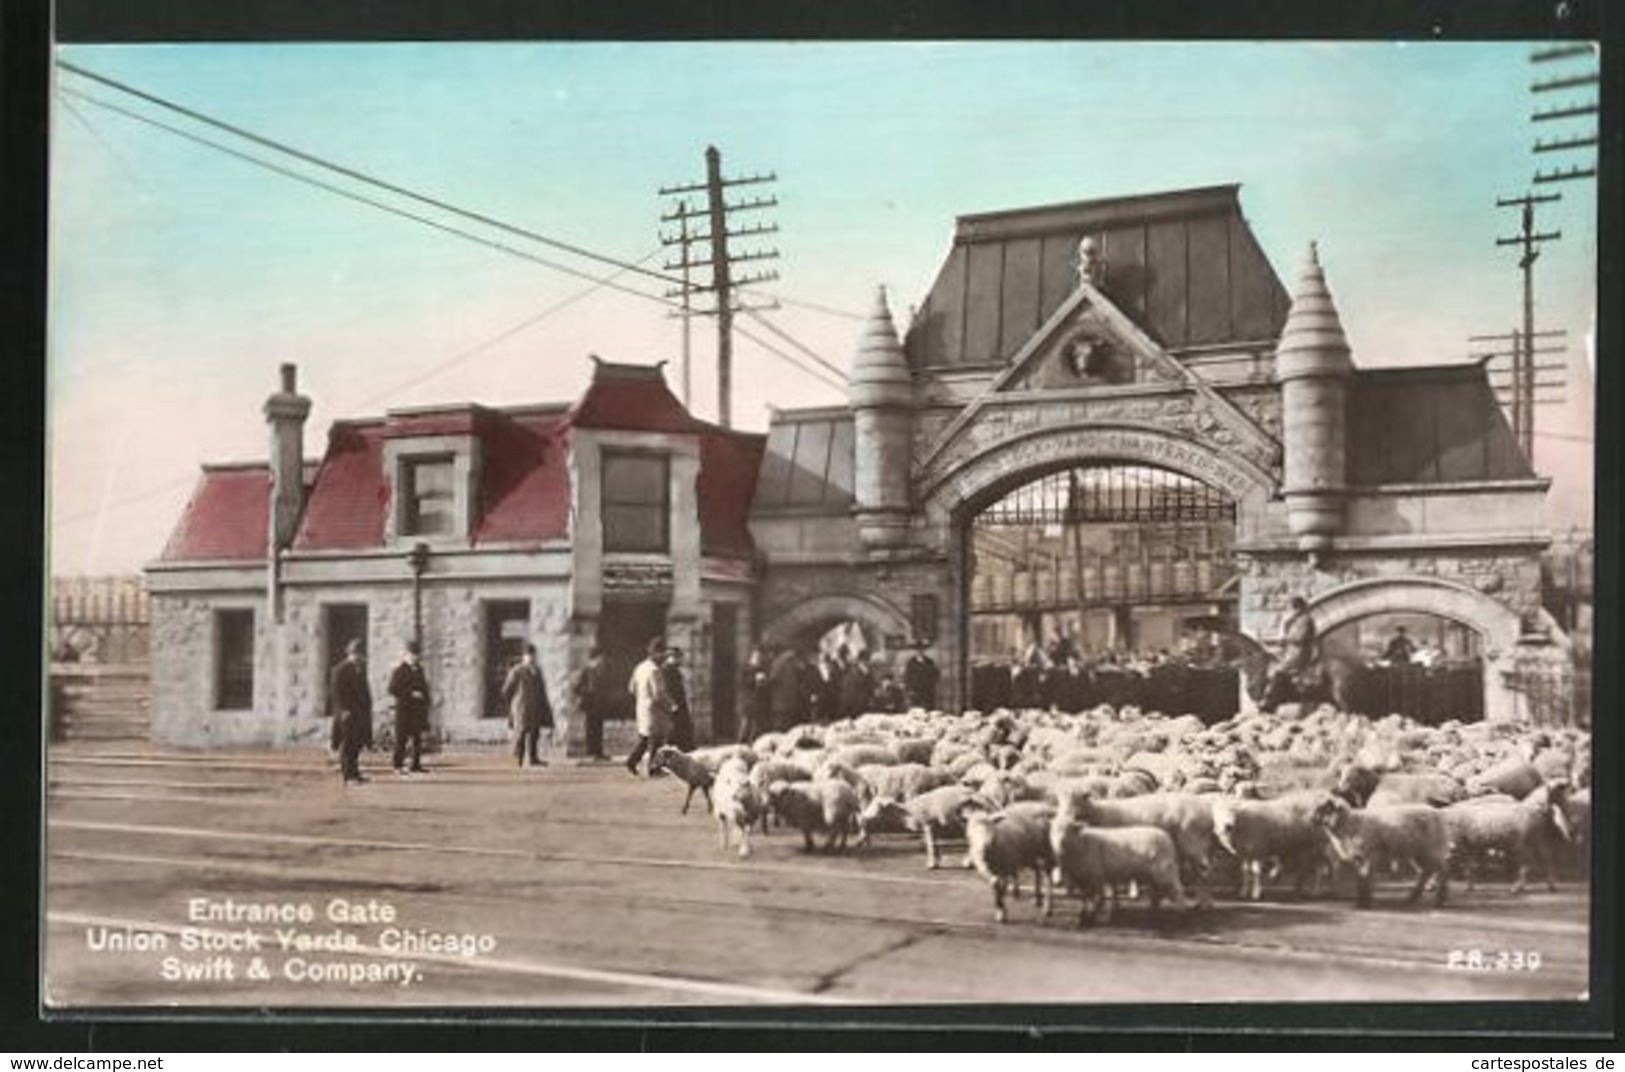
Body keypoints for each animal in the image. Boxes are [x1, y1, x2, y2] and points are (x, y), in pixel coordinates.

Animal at [1053, 815, 1183, 922]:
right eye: (1053, 830)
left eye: (1069, 830)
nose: (1060, 843)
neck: (1082, 842)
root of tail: (1166, 837)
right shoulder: (1081, 876)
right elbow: (1084, 898)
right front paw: (1083, 914)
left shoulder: (1096, 875)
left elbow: (1097, 898)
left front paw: (1093, 915)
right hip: (1151, 875)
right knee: (1156, 893)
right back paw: (1152, 912)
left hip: (1163, 870)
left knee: (1177, 890)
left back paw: (1182, 910)